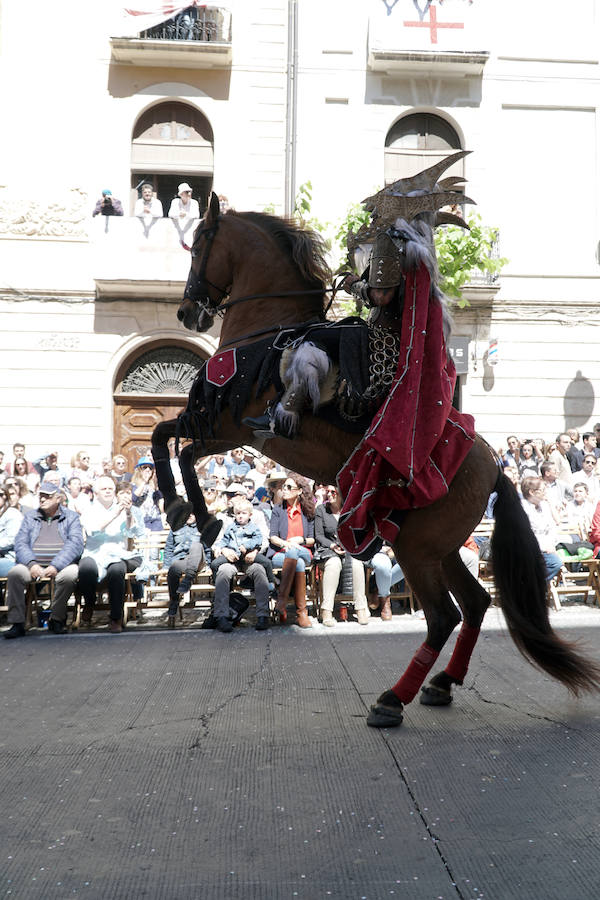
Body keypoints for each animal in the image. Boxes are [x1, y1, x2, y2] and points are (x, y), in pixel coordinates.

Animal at [151, 193, 600, 728]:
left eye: (199, 243)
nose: (186, 312)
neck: (267, 332)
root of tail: (494, 467)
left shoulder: (229, 422)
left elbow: (168, 440)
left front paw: (190, 511)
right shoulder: (225, 430)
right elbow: (175, 445)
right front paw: (195, 514)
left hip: (418, 548)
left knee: (444, 616)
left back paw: (394, 698)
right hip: (438, 547)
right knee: (474, 604)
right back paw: (441, 683)